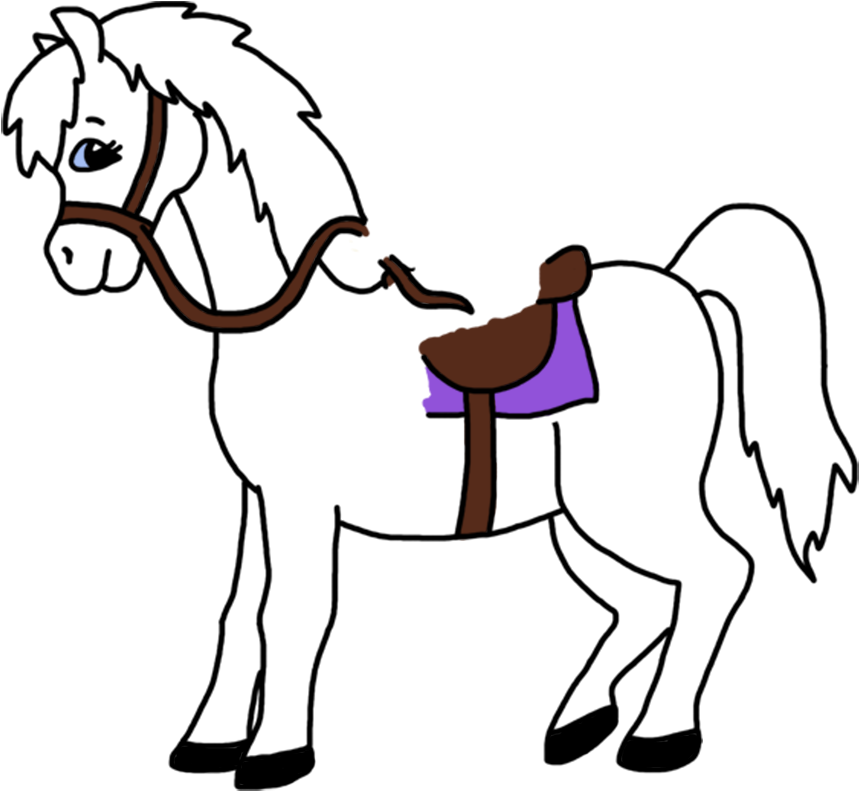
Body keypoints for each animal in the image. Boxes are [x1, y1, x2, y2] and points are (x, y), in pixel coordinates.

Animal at [3, 8, 851, 758]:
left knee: (715, 573)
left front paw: (275, 744)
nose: (74, 261)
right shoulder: (261, 497)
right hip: (580, 519)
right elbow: (242, 614)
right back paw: (572, 715)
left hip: (628, 500)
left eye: (95, 149)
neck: (294, 317)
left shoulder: (302, 500)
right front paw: (211, 735)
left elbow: (292, 615)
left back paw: (660, 725)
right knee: (645, 602)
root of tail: (680, 284)